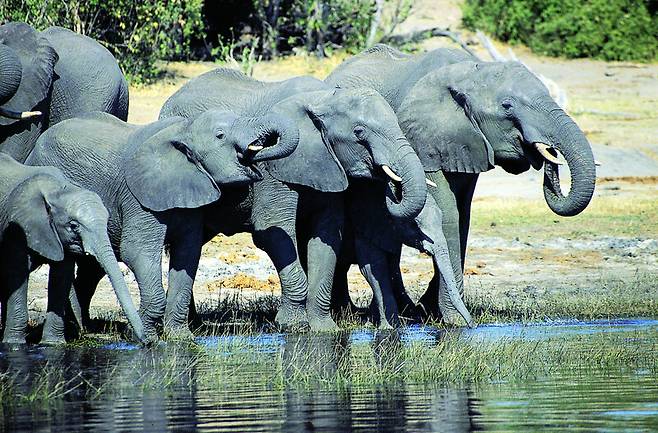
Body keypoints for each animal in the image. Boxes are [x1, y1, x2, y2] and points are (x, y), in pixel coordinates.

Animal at [0, 153, 144, 344]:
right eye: (74, 226)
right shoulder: (17, 227)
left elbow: (62, 276)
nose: (147, 341)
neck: (59, 190)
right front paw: (13, 344)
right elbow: (18, 272)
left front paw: (53, 344)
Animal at [25, 109, 298, 340]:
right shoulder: (137, 199)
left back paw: (83, 329)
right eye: (220, 135)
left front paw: (180, 339)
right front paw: (144, 338)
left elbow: (187, 255)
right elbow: (137, 251)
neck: (184, 130)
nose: (259, 153)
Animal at [159, 67, 426, 330]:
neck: (323, 98)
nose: (392, 189)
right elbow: (272, 230)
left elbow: (327, 235)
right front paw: (293, 326)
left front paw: (324, 329)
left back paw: (194, 324)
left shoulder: (326, 164)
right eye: (359, 132)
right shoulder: (274, 170)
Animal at [326, 44, 596, 320]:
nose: (547, 152)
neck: (470, 73)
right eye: (507, 106)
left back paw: (404, 310)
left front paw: (433, 310)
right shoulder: (420, 137)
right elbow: (448, 212)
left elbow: (463, 214)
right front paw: (452, 319)